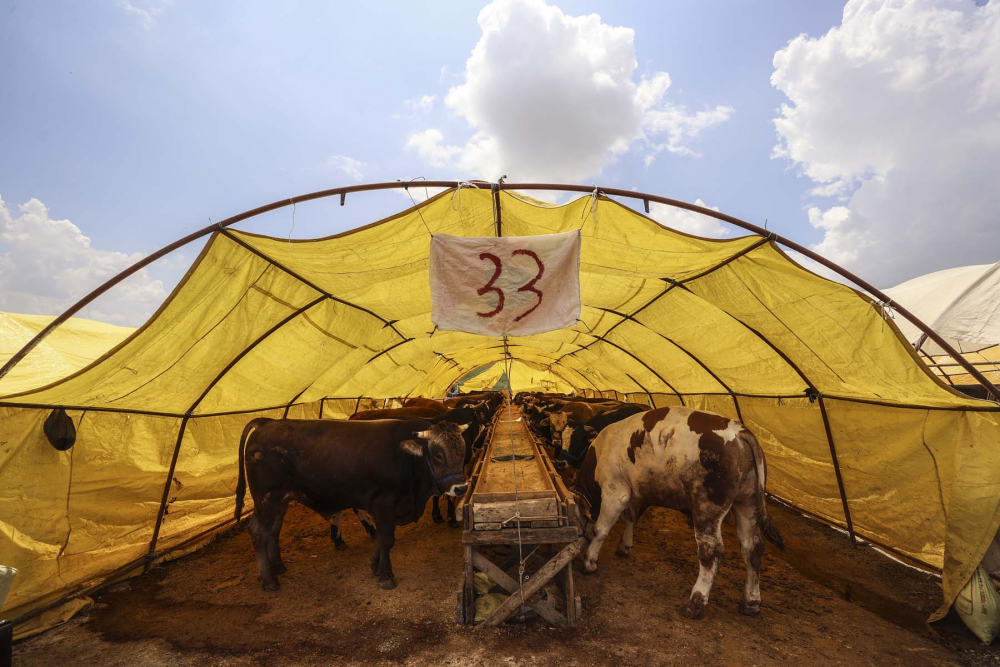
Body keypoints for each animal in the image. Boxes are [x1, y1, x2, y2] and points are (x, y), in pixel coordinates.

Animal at [236, 414, 470, 592]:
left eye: (463, 450)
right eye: (438, 454)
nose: (460, 488)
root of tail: (267, 422)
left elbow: (382, 539)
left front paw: (375, 565)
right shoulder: (384, 505)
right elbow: (387, 540)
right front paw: (385, 575)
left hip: (280, 500)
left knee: (273, 530)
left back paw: (276, 566)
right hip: (266, 498)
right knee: (257, 531)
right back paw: (268, 579)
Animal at [576, 408, 784, 620]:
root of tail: (740, 431)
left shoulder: (615, 490)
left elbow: (601, 529)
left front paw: (589, 562)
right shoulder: (638, 492)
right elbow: (631, 518)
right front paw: (624, 546)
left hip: (706, 505)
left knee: (712, 552)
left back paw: (695, 604)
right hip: (747, 502)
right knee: (753, 548)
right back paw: (751, 603)